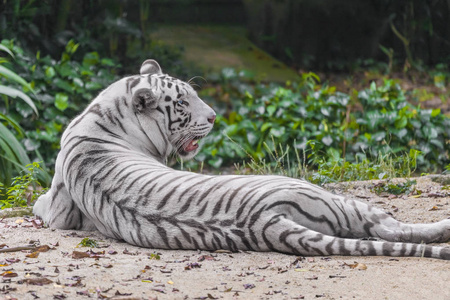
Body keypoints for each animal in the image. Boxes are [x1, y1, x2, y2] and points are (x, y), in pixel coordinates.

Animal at [34, 59, 450, 260]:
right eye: (182, 104)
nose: (215, 117)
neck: (107, 110)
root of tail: (262, 221)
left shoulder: (60, 208)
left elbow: (41, 204)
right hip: (333, 197)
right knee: (391, 228)